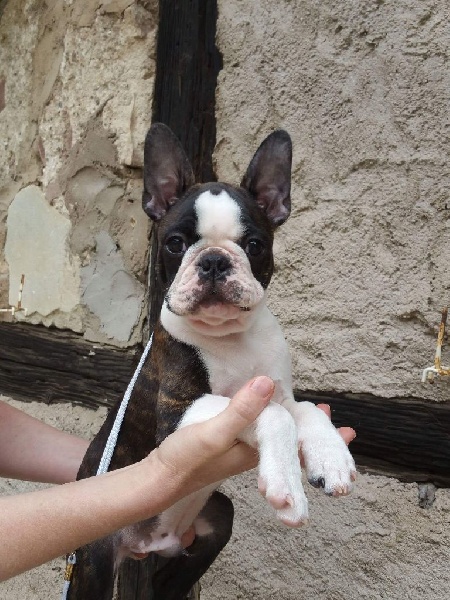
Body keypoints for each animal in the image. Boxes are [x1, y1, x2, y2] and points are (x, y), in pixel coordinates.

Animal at [67, 124, 356, 600]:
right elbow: (273, 415)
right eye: (175, 243)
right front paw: (288, 485)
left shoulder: (277, 389)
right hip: (93, 560)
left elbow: (306, 410)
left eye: (254, 245)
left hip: (216, 521)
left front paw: (331, 459)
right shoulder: (179, 413)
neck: (232, 339)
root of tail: (145, 544)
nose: (215, 260)